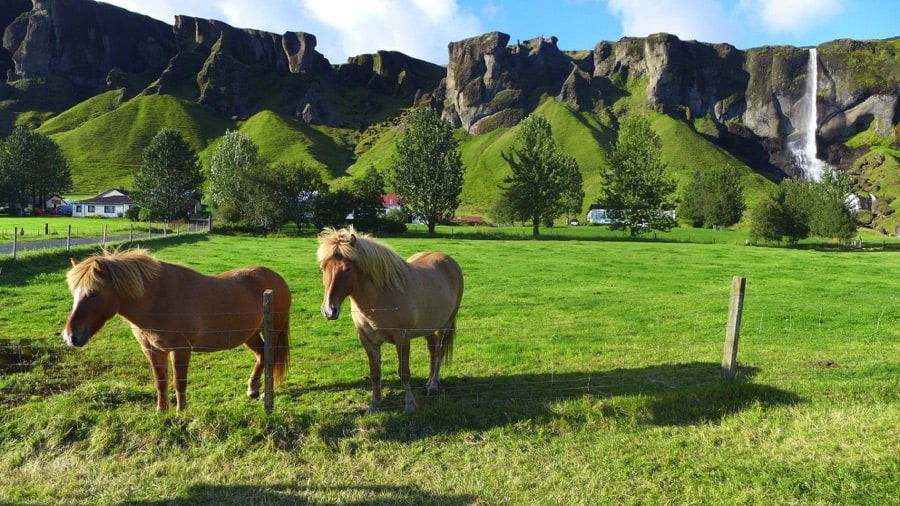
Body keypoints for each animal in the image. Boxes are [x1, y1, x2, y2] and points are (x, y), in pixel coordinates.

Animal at [61, 248, 290, 412]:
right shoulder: (153, 350)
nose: (70, 337)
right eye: (74, 292)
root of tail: (277, 278)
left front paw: (181, 412)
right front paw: (162, 412)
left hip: (272, 332)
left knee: (269, 357)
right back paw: (253, 389)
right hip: (250, 334)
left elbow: (179, 383)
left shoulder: (181, 350)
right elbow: (160, 382)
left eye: (94, 293)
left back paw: (263, 394)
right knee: (261, 356)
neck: (159, 300)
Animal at [318, 227, 464, 414]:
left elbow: (404, 372)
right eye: (323, 268)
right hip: (429, 329)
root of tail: (450, 261)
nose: (329, 310)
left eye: (347, 269)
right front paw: (374, 405)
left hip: (444, 326)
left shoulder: (402, 339)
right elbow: (375, 374)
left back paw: (433, 386)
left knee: (438, 353)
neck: (381, 298)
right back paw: (430, 382)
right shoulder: (368, 341)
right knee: (433, 352)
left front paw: (409, 404)